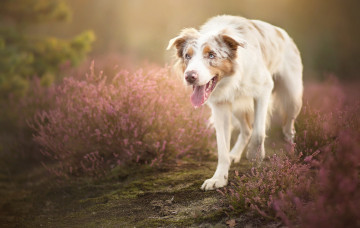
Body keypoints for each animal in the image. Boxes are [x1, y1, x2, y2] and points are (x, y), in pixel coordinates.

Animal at [167, 15, 302, 191]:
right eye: (187, 56)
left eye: (211, 55)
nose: (190, 76)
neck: (232, 78)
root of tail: (284, 33)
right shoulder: (220, 105)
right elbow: (222, 148)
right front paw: (219, 178)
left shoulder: (264, 89)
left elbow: (259, 133)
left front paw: (255, 155)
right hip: (237, 106)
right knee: (247, 130)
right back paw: (234, 154)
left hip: (292, 98)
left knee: (288, 129)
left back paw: (292, 154)